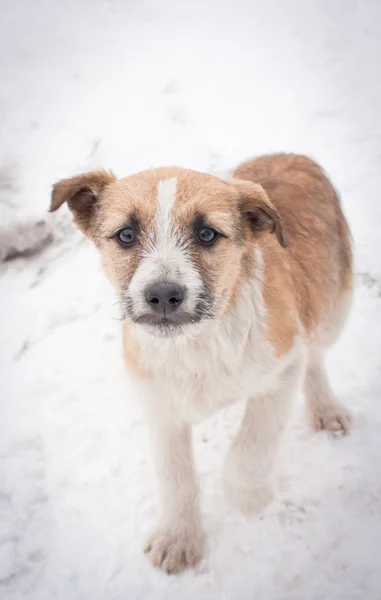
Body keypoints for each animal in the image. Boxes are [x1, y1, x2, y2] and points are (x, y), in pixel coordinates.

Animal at [51, 154, 354, 572]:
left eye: (207, 234)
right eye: (126, 235)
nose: (163, 295)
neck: (198, 342)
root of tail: (291, 155)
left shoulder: (282, 371)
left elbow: (250, 448)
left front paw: (250, 497)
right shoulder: (159, 405)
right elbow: (174, 477)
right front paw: (178, 538)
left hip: (333, 306)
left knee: (317, 356)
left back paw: (326, 407)